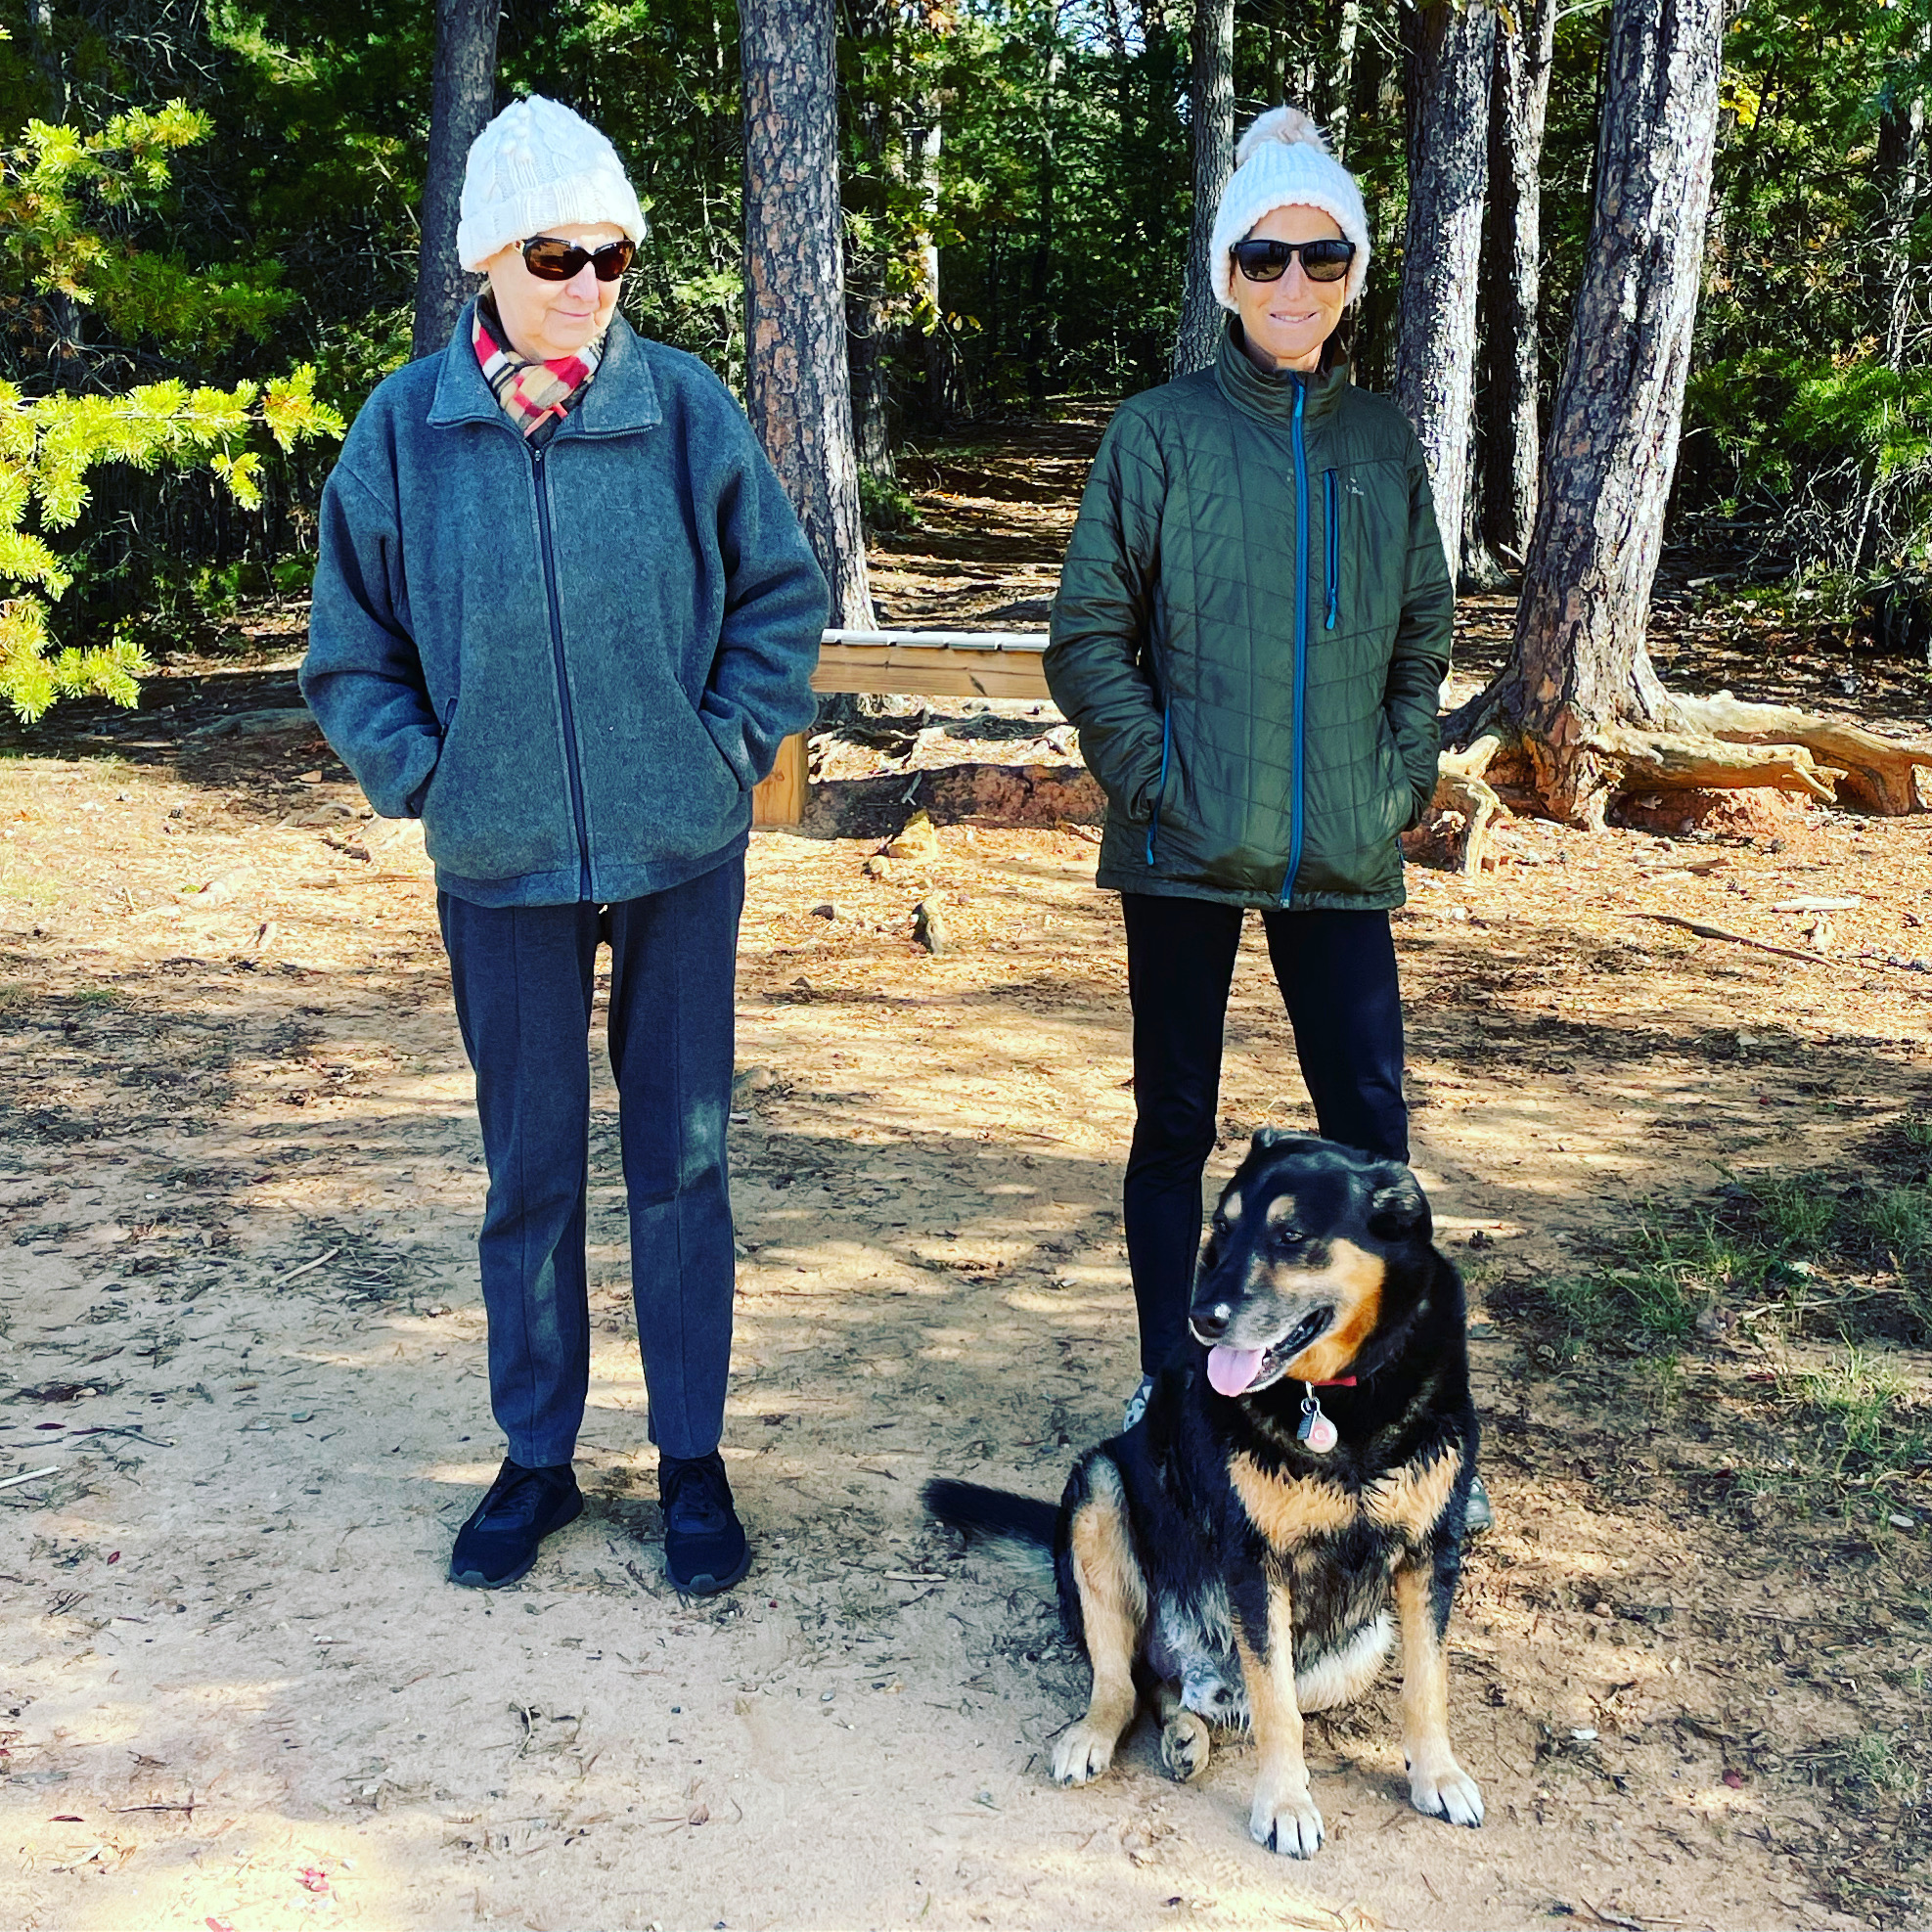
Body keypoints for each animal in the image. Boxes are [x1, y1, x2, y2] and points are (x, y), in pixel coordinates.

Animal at [927, 1128, 1483, 1855]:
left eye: (1291, 1235)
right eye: (1220, 1228)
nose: (1200, 1318)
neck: (1339, 1398)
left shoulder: (1429, 1553)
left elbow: (1426, 1684)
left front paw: (1437, 1775)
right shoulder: (1255, 1564)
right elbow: (1276, 1707)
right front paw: (1284, 1803)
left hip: (1355, 1652)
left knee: (1180, 1693)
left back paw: (1187, 1737)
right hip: (1098, 1493)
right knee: (1124, 1682)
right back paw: (1096, 1735)